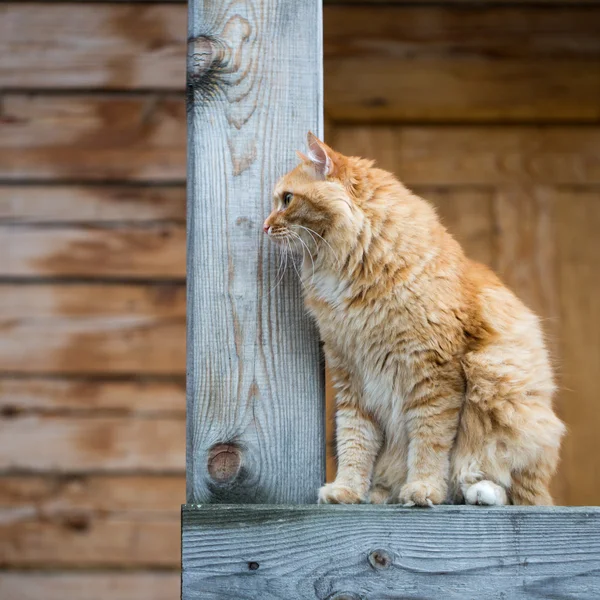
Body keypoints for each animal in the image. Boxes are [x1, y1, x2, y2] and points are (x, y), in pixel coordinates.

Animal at [264, 132, 564, 506]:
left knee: (511, 487)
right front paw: (347, 489)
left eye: (287, 200)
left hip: (497, 381)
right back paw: (380, 494)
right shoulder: (351, 376)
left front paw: (424, 488)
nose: (265, 226)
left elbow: (429, 441)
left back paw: (479, 491)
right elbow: (354, 440)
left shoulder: (433, 375)